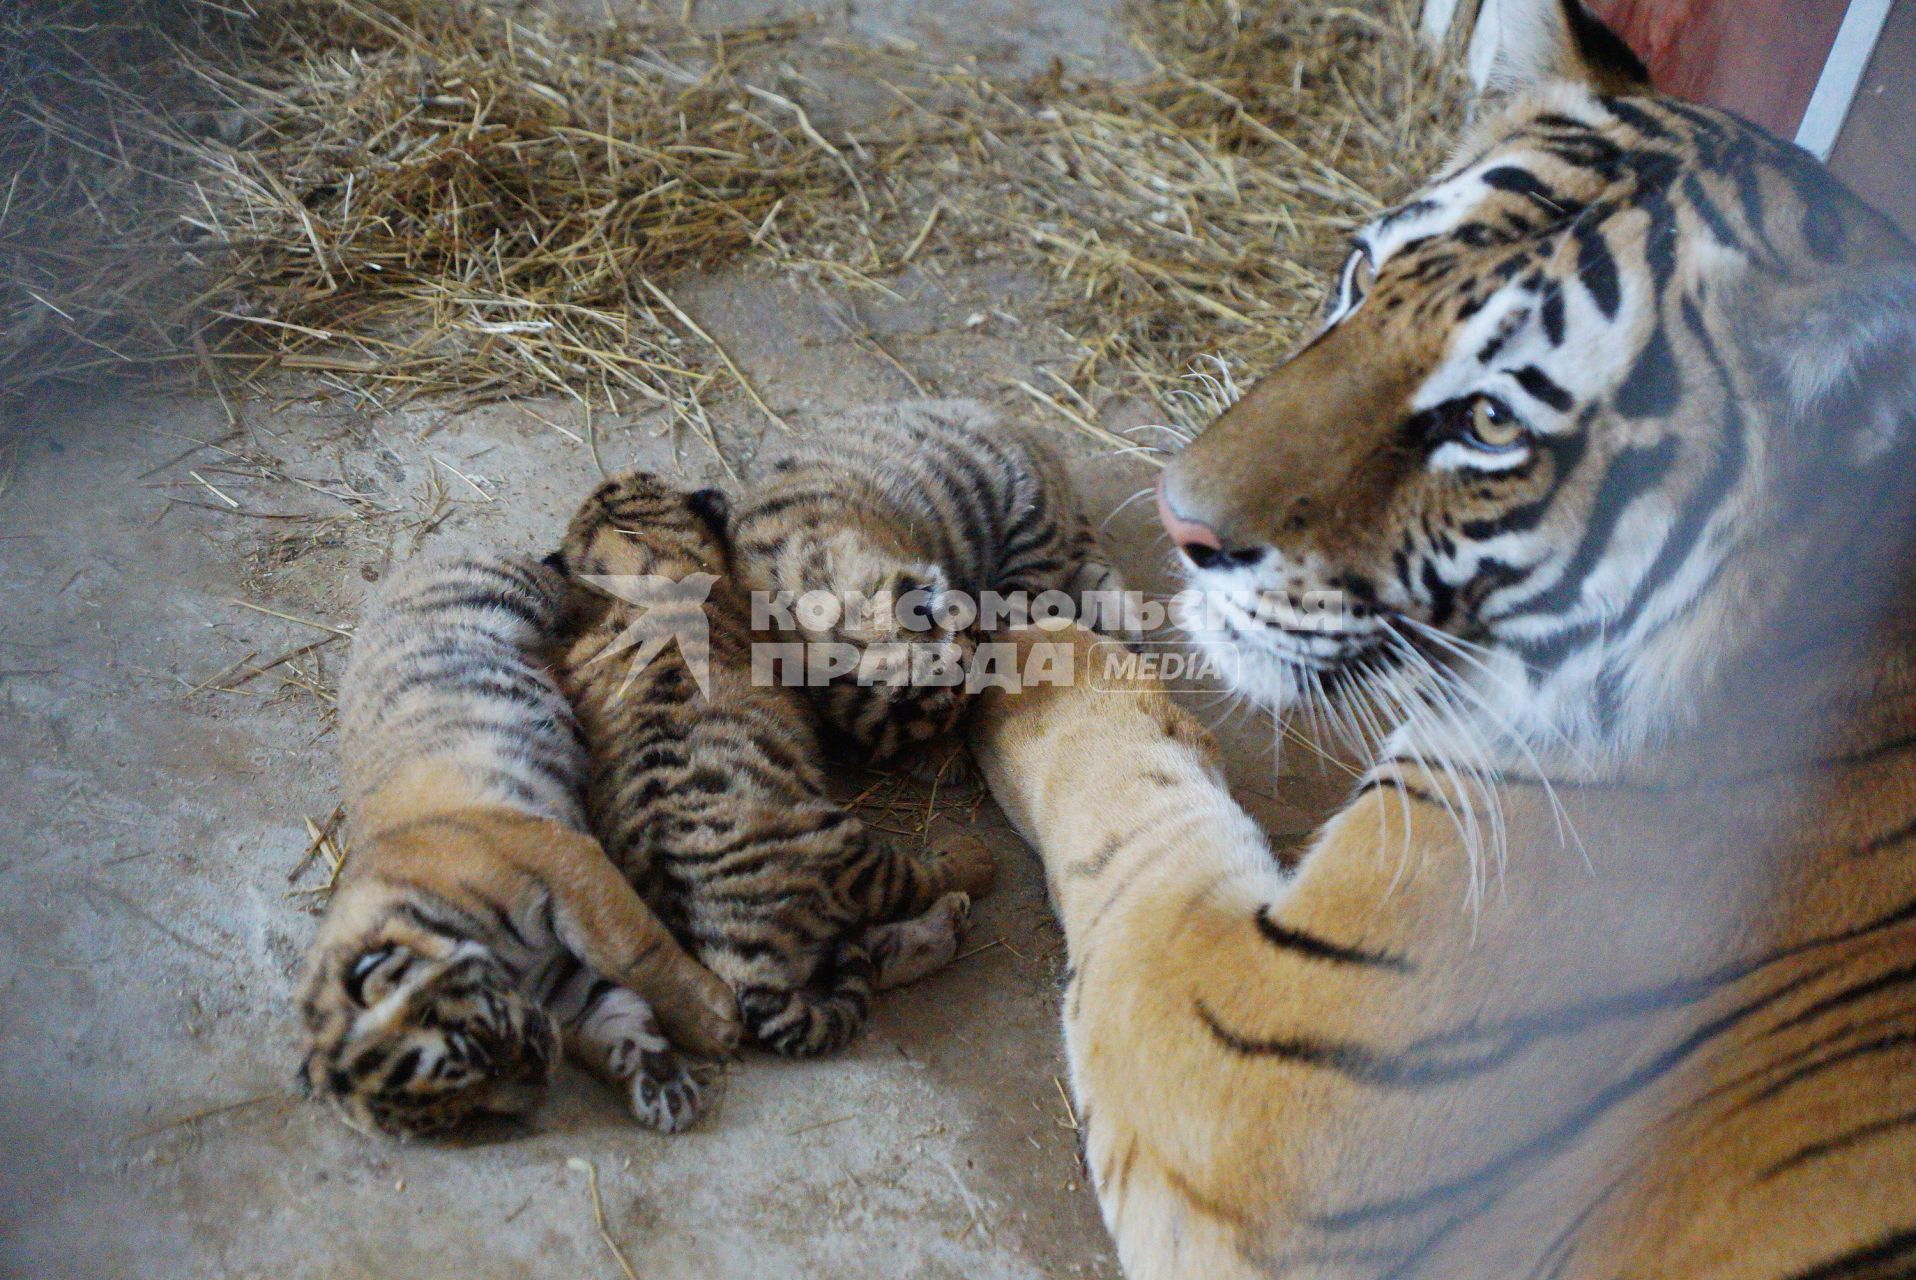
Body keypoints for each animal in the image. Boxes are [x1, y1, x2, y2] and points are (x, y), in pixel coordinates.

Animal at [973, 5, 1916, 1272]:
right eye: (1362, 277)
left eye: (1488, 421)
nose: (1181, 523)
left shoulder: (1253, 1063)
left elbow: (1126, 804)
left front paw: (1009, 647)